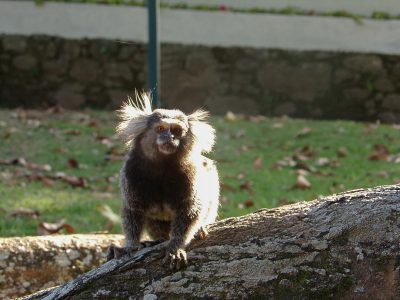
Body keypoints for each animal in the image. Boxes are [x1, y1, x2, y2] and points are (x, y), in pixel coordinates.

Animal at [108, 92, 219, 270]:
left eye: (176, 130)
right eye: (161, 129)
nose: (169, 137)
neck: (162, 167)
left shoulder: (191, 174)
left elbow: (191, 210)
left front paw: (175, 248)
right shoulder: (130, 173)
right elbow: (133, 210)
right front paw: (130, 246)